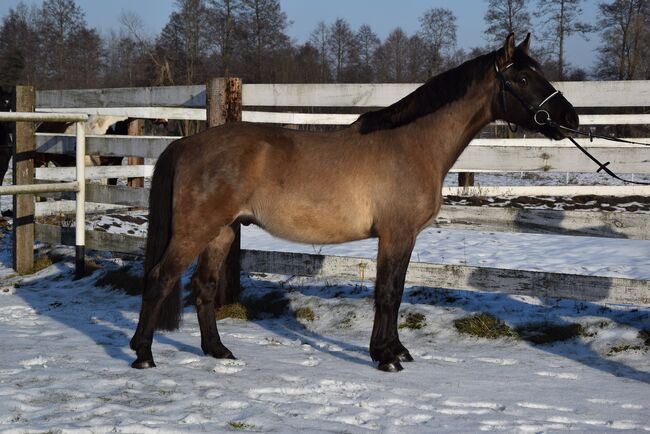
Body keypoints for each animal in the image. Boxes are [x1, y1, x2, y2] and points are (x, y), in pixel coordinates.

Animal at [130, 33, 579, 372]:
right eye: (524, 77)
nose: (570, 120)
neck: (413, 144)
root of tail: (186, 144)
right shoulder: (396, 235)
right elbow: (388, 293)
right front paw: (385, 357)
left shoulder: (403, 238)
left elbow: (396, 291)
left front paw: (395, 350)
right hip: (195, 230)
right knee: (159, 278)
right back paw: (144, 354)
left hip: (222, 231)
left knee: (204, 286)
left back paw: (218, 351)